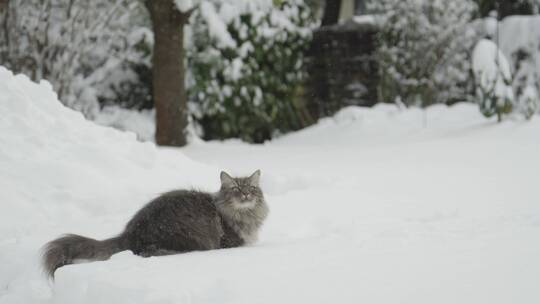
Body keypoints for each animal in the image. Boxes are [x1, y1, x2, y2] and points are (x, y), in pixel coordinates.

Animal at [41, 170, 268, 280]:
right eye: (236, 189)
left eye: (251, 188)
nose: (246, 195)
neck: (244, 214)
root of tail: (130, 232)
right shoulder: (230, 241)